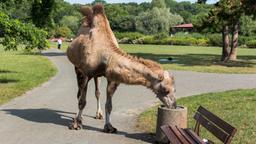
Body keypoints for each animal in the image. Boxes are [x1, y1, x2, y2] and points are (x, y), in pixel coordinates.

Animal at [66, 4, 176, 133]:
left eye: (174, 89)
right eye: (166, 90)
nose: (174, 105)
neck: (106, 57)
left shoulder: (112, 78)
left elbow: (109, 105)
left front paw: (109, 127)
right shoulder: (84, 73)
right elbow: (82, 101)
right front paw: (76, 124)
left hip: (97, 75)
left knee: (97, 92)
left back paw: (98, 114)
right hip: (77, 68)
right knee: (79, 94)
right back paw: (78, 117)